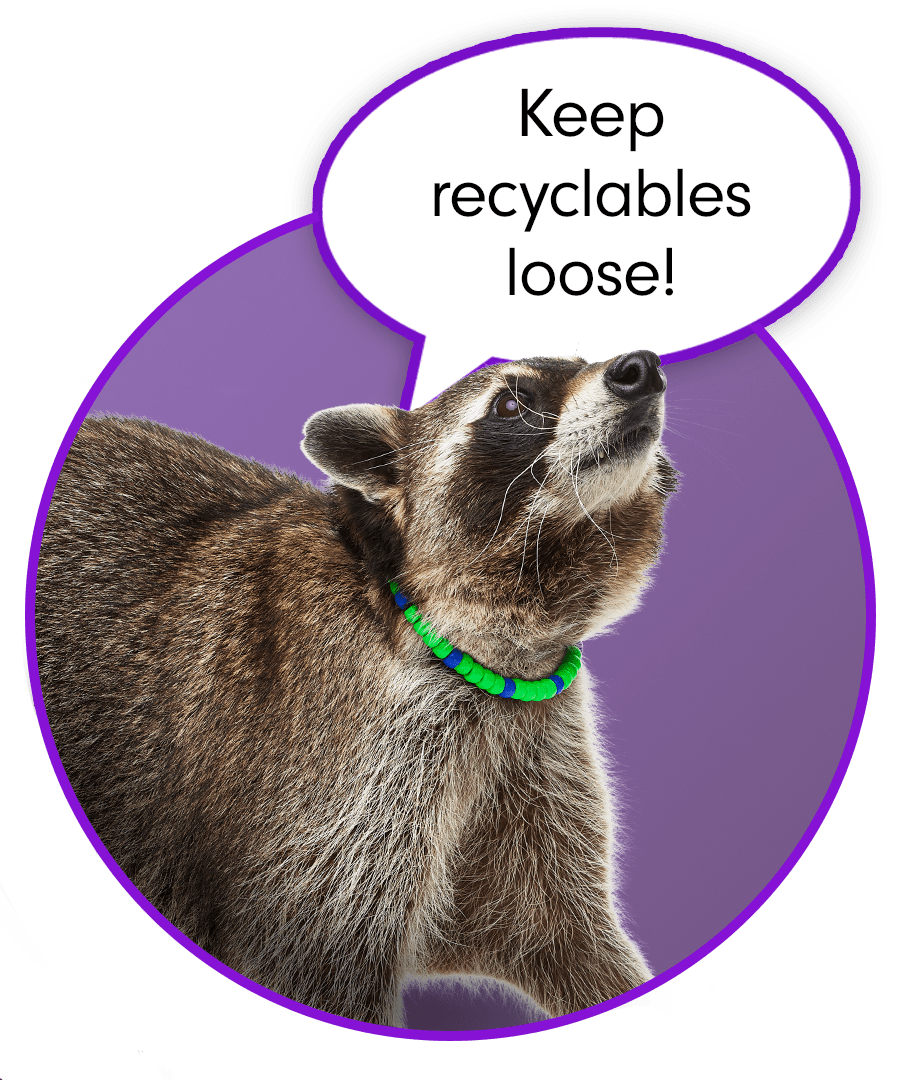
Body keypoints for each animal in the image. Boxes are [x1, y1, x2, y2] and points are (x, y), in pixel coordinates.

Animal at [35, 351, 677, 1027]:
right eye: (511, 402)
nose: (640, 367)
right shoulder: (341, 761)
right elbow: (314, 958)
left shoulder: (535, 754)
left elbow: (568, 937)